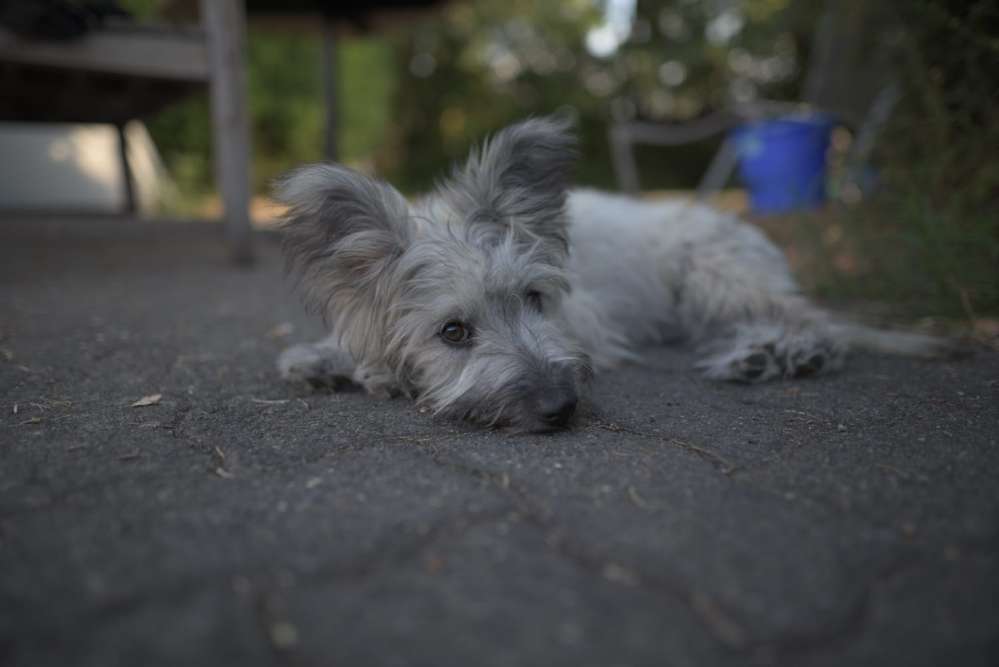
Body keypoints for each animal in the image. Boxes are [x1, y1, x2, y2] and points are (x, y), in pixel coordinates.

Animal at [278, 116, 948, 434]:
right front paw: (332, 357)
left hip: (716, 276)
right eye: (453, 332)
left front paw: (371, 371)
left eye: (536, 298)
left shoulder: (587, 322)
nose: (559, 406)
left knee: (813, 324)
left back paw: (777, 352)